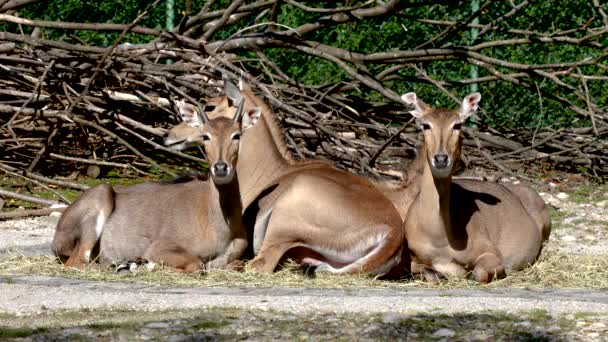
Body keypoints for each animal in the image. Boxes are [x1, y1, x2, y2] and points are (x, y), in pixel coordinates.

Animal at [51, 99, 260, 272]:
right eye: (205, 136)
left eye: (237, 135)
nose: (221, 168)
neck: (221, 227)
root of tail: (56, 238)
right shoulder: (159, 247)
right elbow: (197, 264)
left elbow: (238, 264)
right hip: (100, 197)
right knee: (78, 262)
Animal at [402, 91, 548, 284]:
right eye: (425, 124)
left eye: (458, 124)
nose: (441, 159)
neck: (439, 237)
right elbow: (428, 272)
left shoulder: (491, 253)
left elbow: (477, 273)